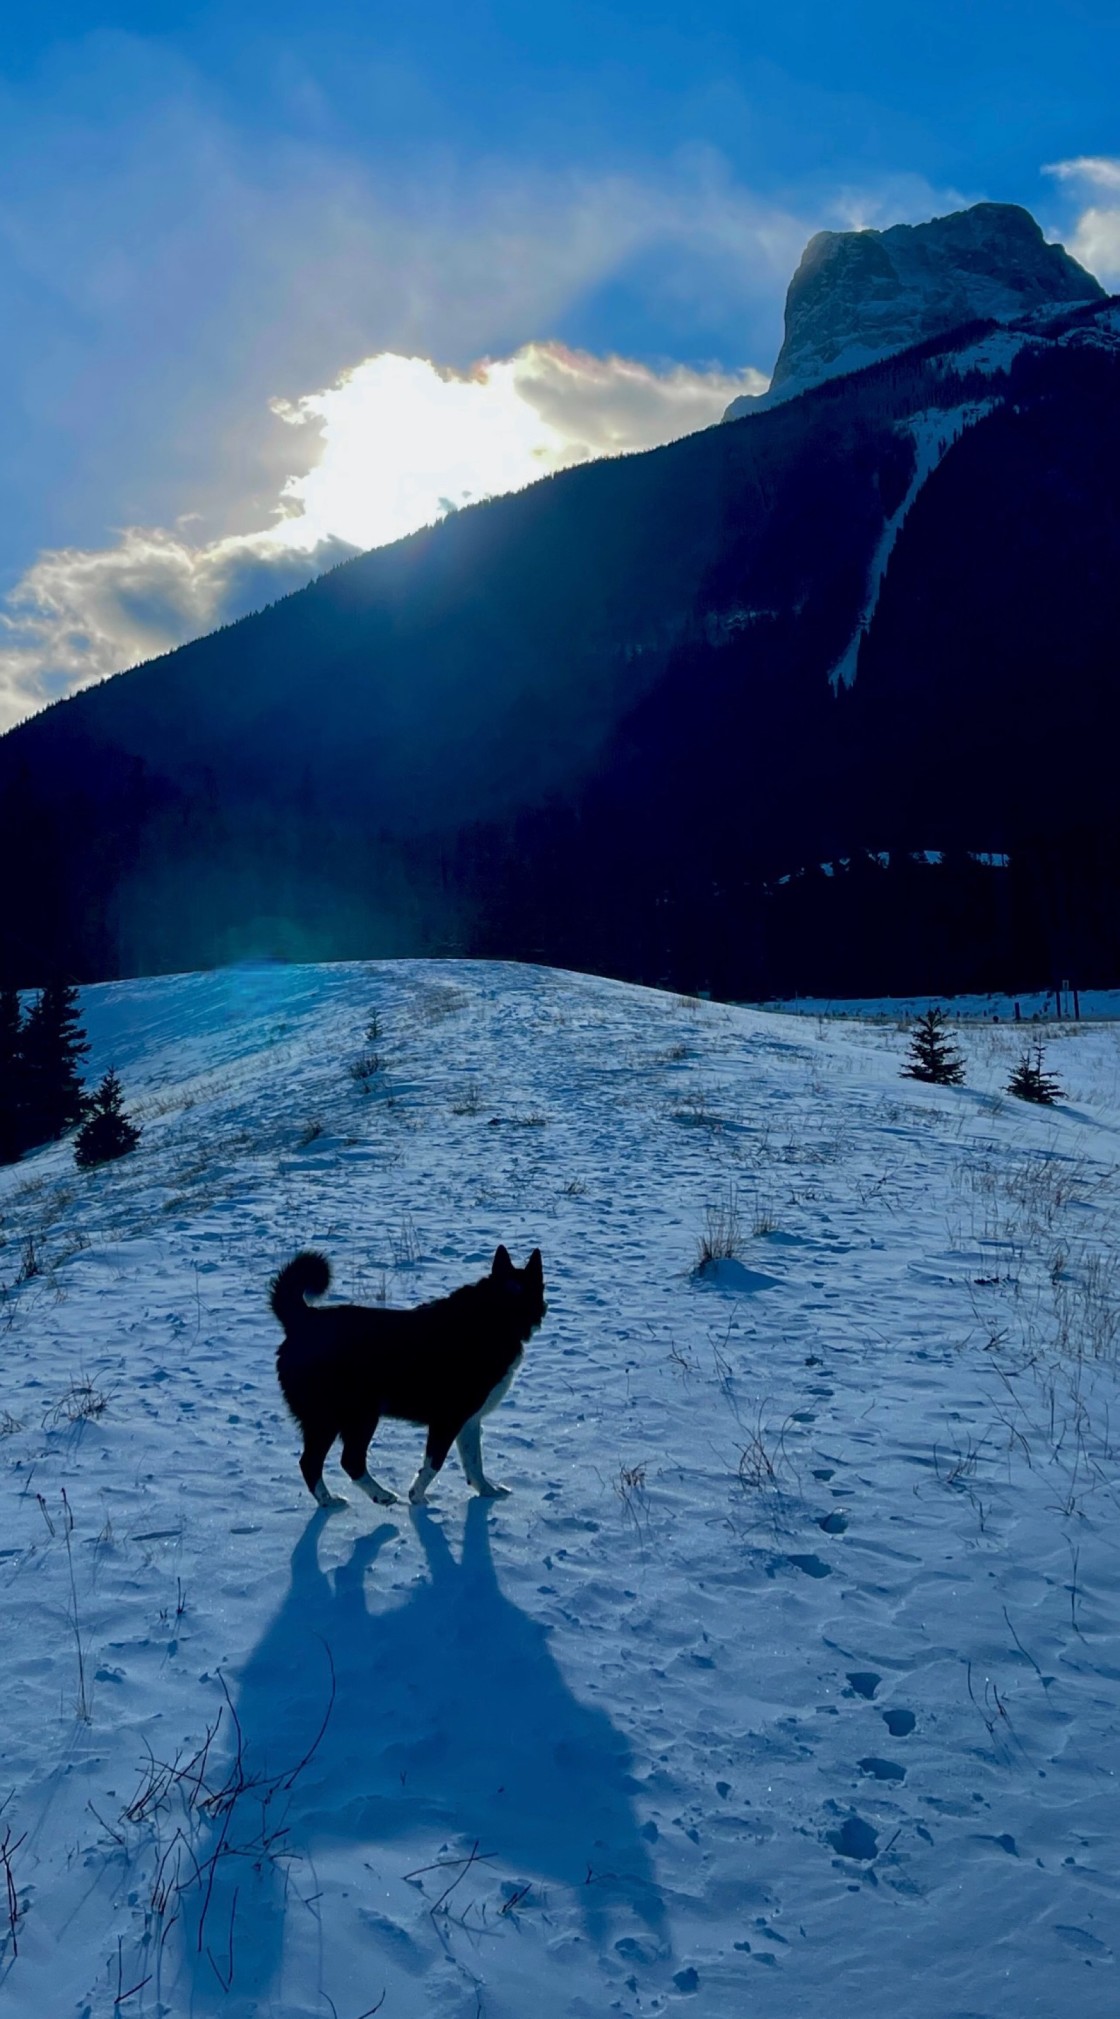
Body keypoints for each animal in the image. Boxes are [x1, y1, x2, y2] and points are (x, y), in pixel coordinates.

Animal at [270, 1235, 544, 1510]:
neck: (495, 1314)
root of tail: (303, 1319)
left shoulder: (469, 1421)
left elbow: (474, 1463)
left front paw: (488, 1492)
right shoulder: (447, 1420)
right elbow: (434, 1463)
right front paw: (418, 1498)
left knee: (320, 1462)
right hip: (350, 1416)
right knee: (338, 1461)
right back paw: (363, 1497)